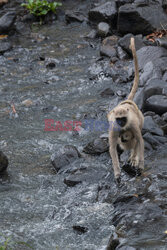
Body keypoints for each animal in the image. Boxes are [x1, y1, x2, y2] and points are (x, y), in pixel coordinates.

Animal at [107, 37, 144, 182]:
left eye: (123, 119)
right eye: (119, 119)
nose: (122, 123)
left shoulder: (132, 123)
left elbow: (139, 141)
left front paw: (138, 163)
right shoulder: (113, 126)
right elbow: (112, 148)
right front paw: (117, 173)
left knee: (133, 138)